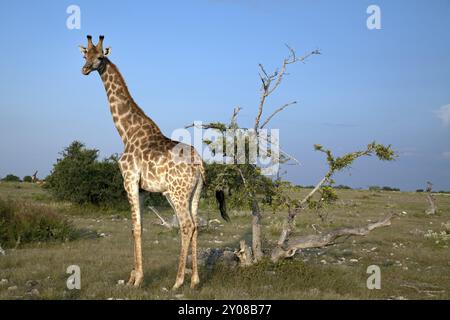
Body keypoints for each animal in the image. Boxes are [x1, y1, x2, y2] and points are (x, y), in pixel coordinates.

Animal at [77, 35, 229, 290]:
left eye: (99, 57)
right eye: (84, 55)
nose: (85, 69)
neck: (126, 132)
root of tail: (199, 163)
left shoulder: (129, 180)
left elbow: (136, 227)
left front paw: (137, 279)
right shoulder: (143, 188)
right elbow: (138, 228)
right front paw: (133, 276)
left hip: (176, 192)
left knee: (186, 225)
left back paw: (178, 281)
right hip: (194, 192)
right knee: (195, 225)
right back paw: (195, 280)